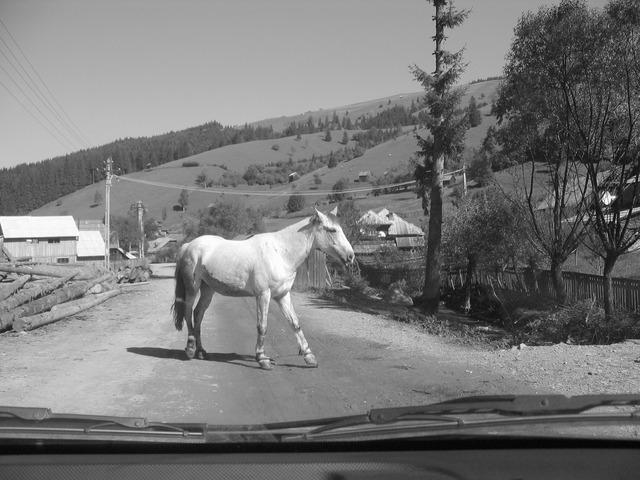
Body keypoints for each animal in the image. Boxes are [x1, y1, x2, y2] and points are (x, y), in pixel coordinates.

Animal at [170, 208, 356, 370]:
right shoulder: (263, 295)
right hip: (192, 287)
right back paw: (190, 349)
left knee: (198, 314)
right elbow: (262, 326)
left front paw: (309, 356)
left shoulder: (282, 295)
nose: (351, 256)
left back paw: (201, 352)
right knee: (188, 312)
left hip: (208, 289)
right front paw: (262, 358)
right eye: (332, 230)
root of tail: (188, 245)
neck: (280, 252)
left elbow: (295, 323)